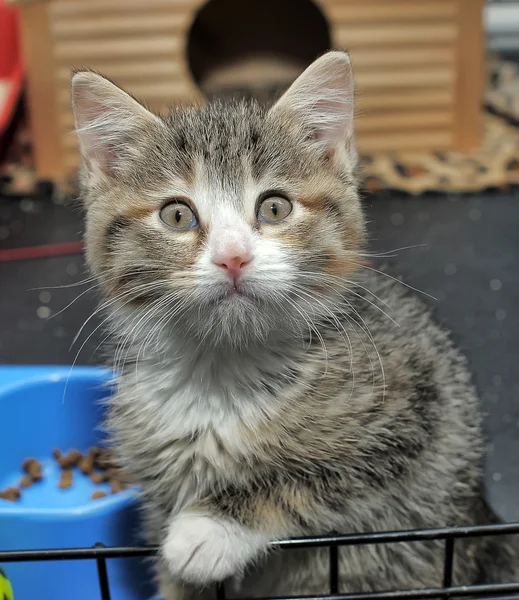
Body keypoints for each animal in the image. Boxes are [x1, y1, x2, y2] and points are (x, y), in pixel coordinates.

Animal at [71, 54, 516, 596]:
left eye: (275, 207)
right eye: (176, 215)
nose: (233, 257)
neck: (223, 368)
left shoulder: (415, 414)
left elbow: (317, 477)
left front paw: (209, 529)